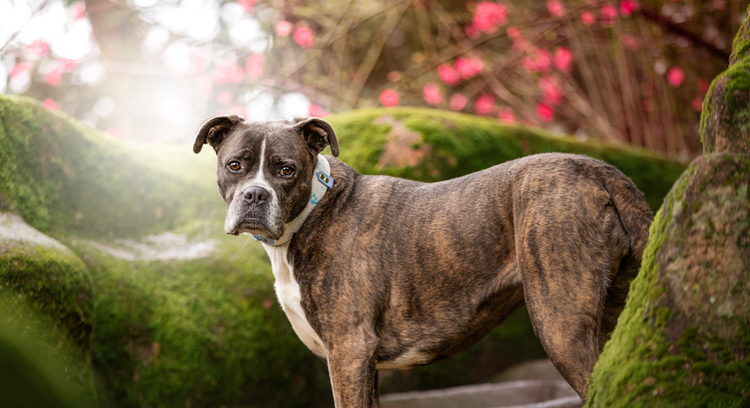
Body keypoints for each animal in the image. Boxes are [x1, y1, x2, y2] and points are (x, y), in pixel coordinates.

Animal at [195, 114, 656, 404]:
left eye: (286, 170)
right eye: (234, 165)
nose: (255, 196)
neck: (312, 211)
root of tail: (593, 167)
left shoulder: (349, 351)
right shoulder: (365, 365)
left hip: (561, 325)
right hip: (613, 317)